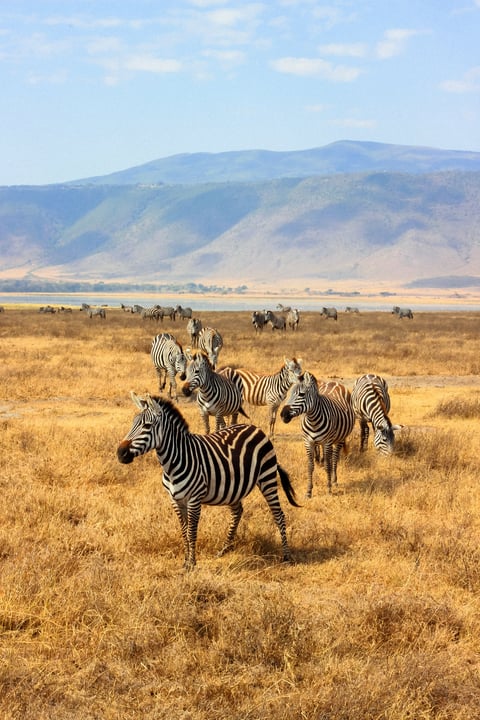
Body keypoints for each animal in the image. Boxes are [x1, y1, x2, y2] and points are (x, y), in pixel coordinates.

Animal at [117, 392, 299, 568]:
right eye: (133, 423)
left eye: (147, 426)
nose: (120, 453)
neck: (173, 462)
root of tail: (254, 428)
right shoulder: (175, 500)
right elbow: (184, 531)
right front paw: (185, 561)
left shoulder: (194, 499)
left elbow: (191, 532)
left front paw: (191, 563)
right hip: (233, 488)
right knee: (237, 512)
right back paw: (224, 550)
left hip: (267, 477)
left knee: (279, 515)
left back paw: (286, 557)